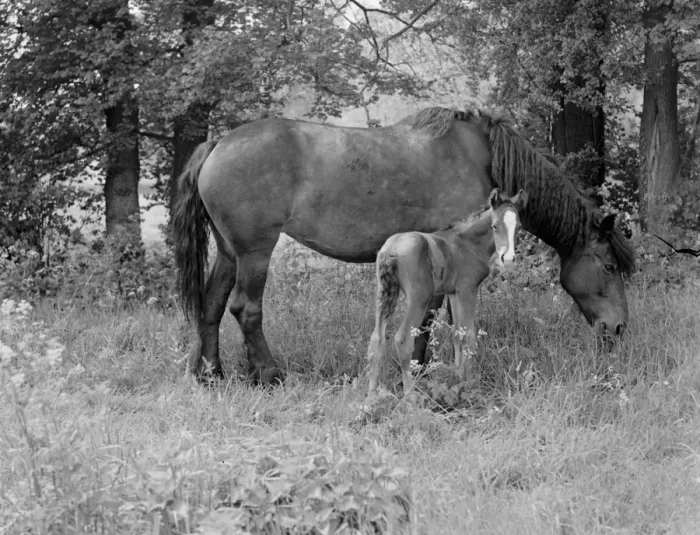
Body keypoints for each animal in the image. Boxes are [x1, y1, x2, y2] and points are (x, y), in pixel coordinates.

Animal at [366, 188, 528, 398]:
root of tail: (390, 250)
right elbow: (469, 336)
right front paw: (470, 382)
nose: (508, 259)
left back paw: (371, 397)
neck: (467, 242)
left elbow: (457, 334)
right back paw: (410, 396)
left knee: (376, 339)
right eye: (494, 226)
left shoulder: (453, 292)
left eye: (519, 227)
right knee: (403, 339)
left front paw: (458, 375)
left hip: (384, 292)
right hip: (419, 298)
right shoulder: (468, 289)